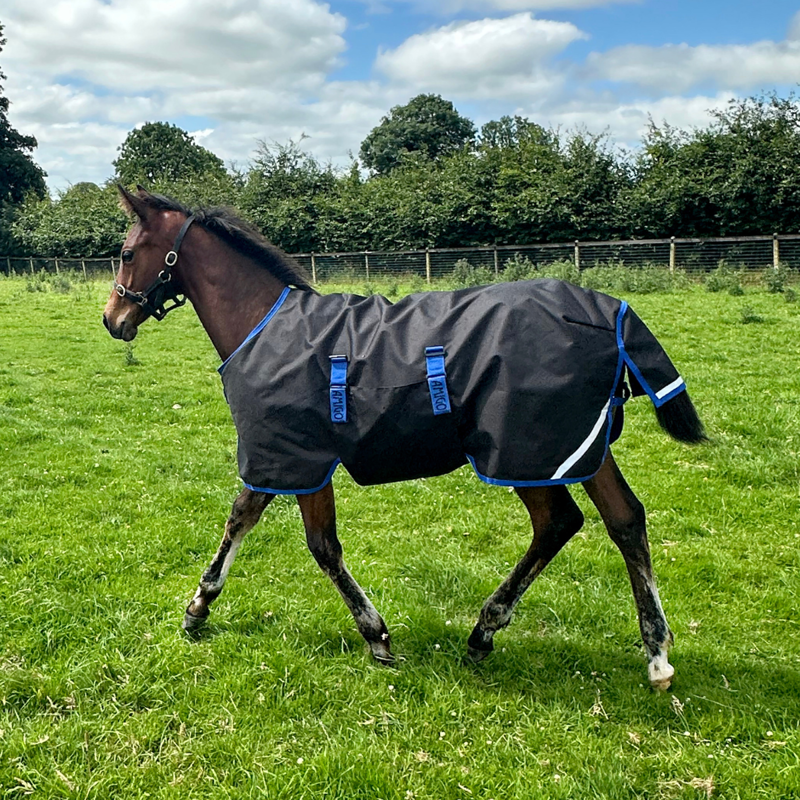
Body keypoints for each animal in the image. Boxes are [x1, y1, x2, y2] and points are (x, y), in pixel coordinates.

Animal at [103, 186, 705, 691]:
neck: (264, 325)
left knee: (559, 522)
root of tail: (609, 311)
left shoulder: (295, 458)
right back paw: (656, 654)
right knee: (625, 520)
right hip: (578, 448)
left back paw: (485, 631)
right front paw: (200, 607)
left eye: (128, 253)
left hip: (522, 453)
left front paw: (375, 635)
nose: (113, 319)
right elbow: (251, 520)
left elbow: (311, 543)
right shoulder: (286, 459)